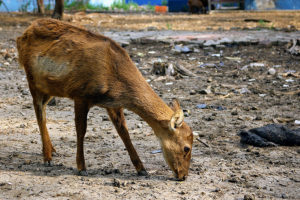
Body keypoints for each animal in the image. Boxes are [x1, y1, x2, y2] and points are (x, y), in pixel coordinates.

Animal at [16, 19, 193, 181]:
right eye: (187, 148)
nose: (183, 176)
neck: (115, 80)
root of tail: (20, 37)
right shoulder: (80, 94)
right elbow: (81, 130)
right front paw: (82, 167)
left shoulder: (113, 103)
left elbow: (124, 132)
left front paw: (142, 169)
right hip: (32, 80)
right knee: (38, 111)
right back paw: (47, 158)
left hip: (50, 87)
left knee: (44, 110)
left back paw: (52, 150)